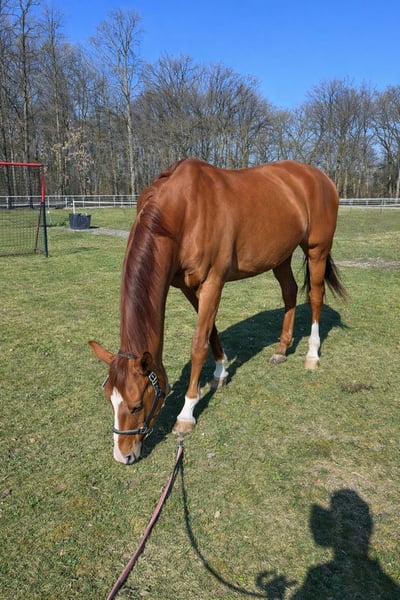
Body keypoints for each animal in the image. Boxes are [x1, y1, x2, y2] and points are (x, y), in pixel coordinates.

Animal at [89, 158, 346, 464]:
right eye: (109, 399)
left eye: (137, 405)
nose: (123, 455)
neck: (183, 210)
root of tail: (319, 177)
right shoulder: (188, 286)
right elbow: (210, 331)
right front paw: (221, 372)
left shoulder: (212, 282)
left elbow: (198, 345)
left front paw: (186, 413)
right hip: (281, 256)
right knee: (290, 292)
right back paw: (281, 349)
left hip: (317, 248)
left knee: (315, 296)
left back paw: (312, 355)